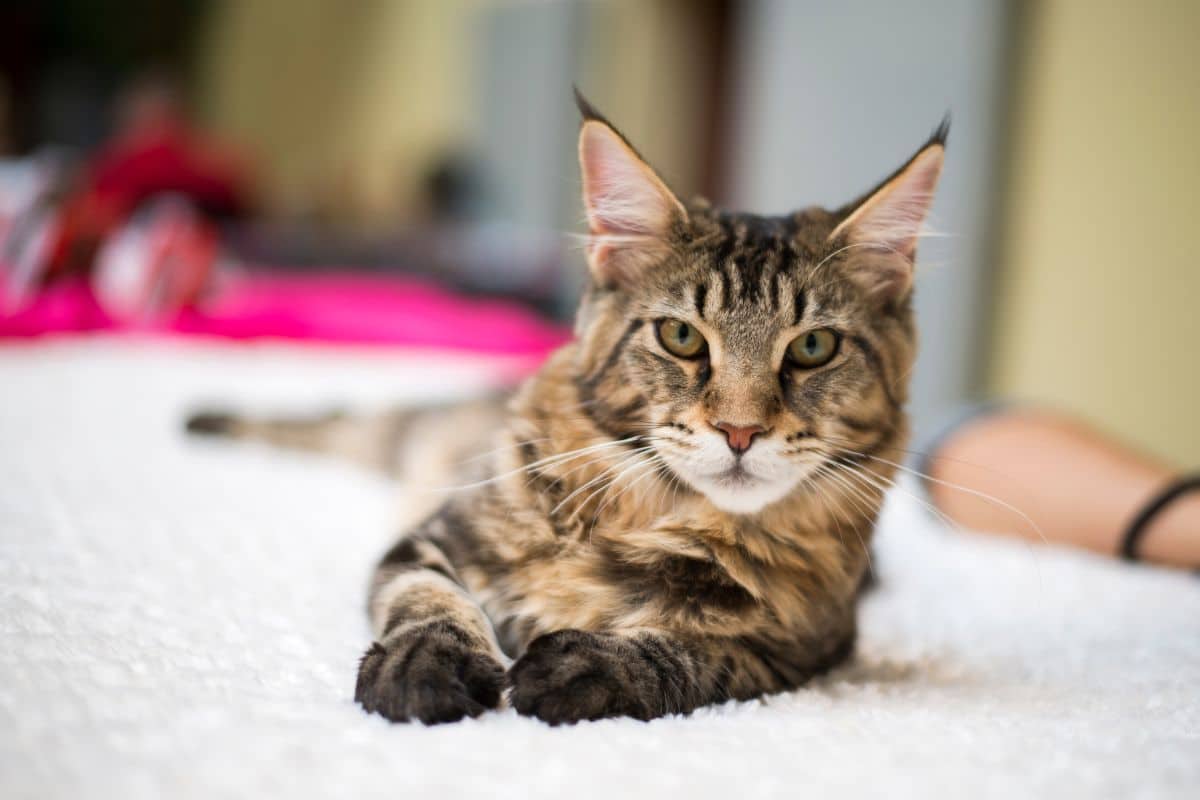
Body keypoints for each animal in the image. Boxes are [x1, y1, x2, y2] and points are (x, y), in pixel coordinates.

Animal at [187, 92, 945, 724]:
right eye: (681, 338)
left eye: (813, 347)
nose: (740, 430)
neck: (662, 516)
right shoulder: (429, 539)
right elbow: (429, 603)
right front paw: (425, 667)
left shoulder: (803, 651)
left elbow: (691, 655)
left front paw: (580, 666)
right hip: (397, 435)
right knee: (330, 422)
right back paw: (202, 419)